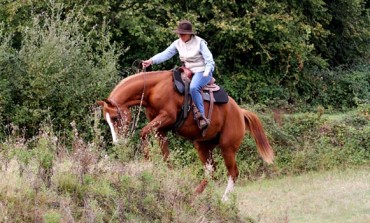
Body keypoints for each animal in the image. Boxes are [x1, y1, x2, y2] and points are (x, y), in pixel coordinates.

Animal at [97, 69, 274, 200]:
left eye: (115, 118)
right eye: (106, 120)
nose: (118, 142)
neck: (154, 88)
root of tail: (240, 112)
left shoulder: (167, 117)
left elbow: (143, 132)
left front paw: (146, 160)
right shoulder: (160, 129)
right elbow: (165, 155)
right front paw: (167, 174)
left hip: (227, 148)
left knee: (233, 173)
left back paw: (224, 199)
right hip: (203, 146)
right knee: (211, 170)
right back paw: (194, 194)